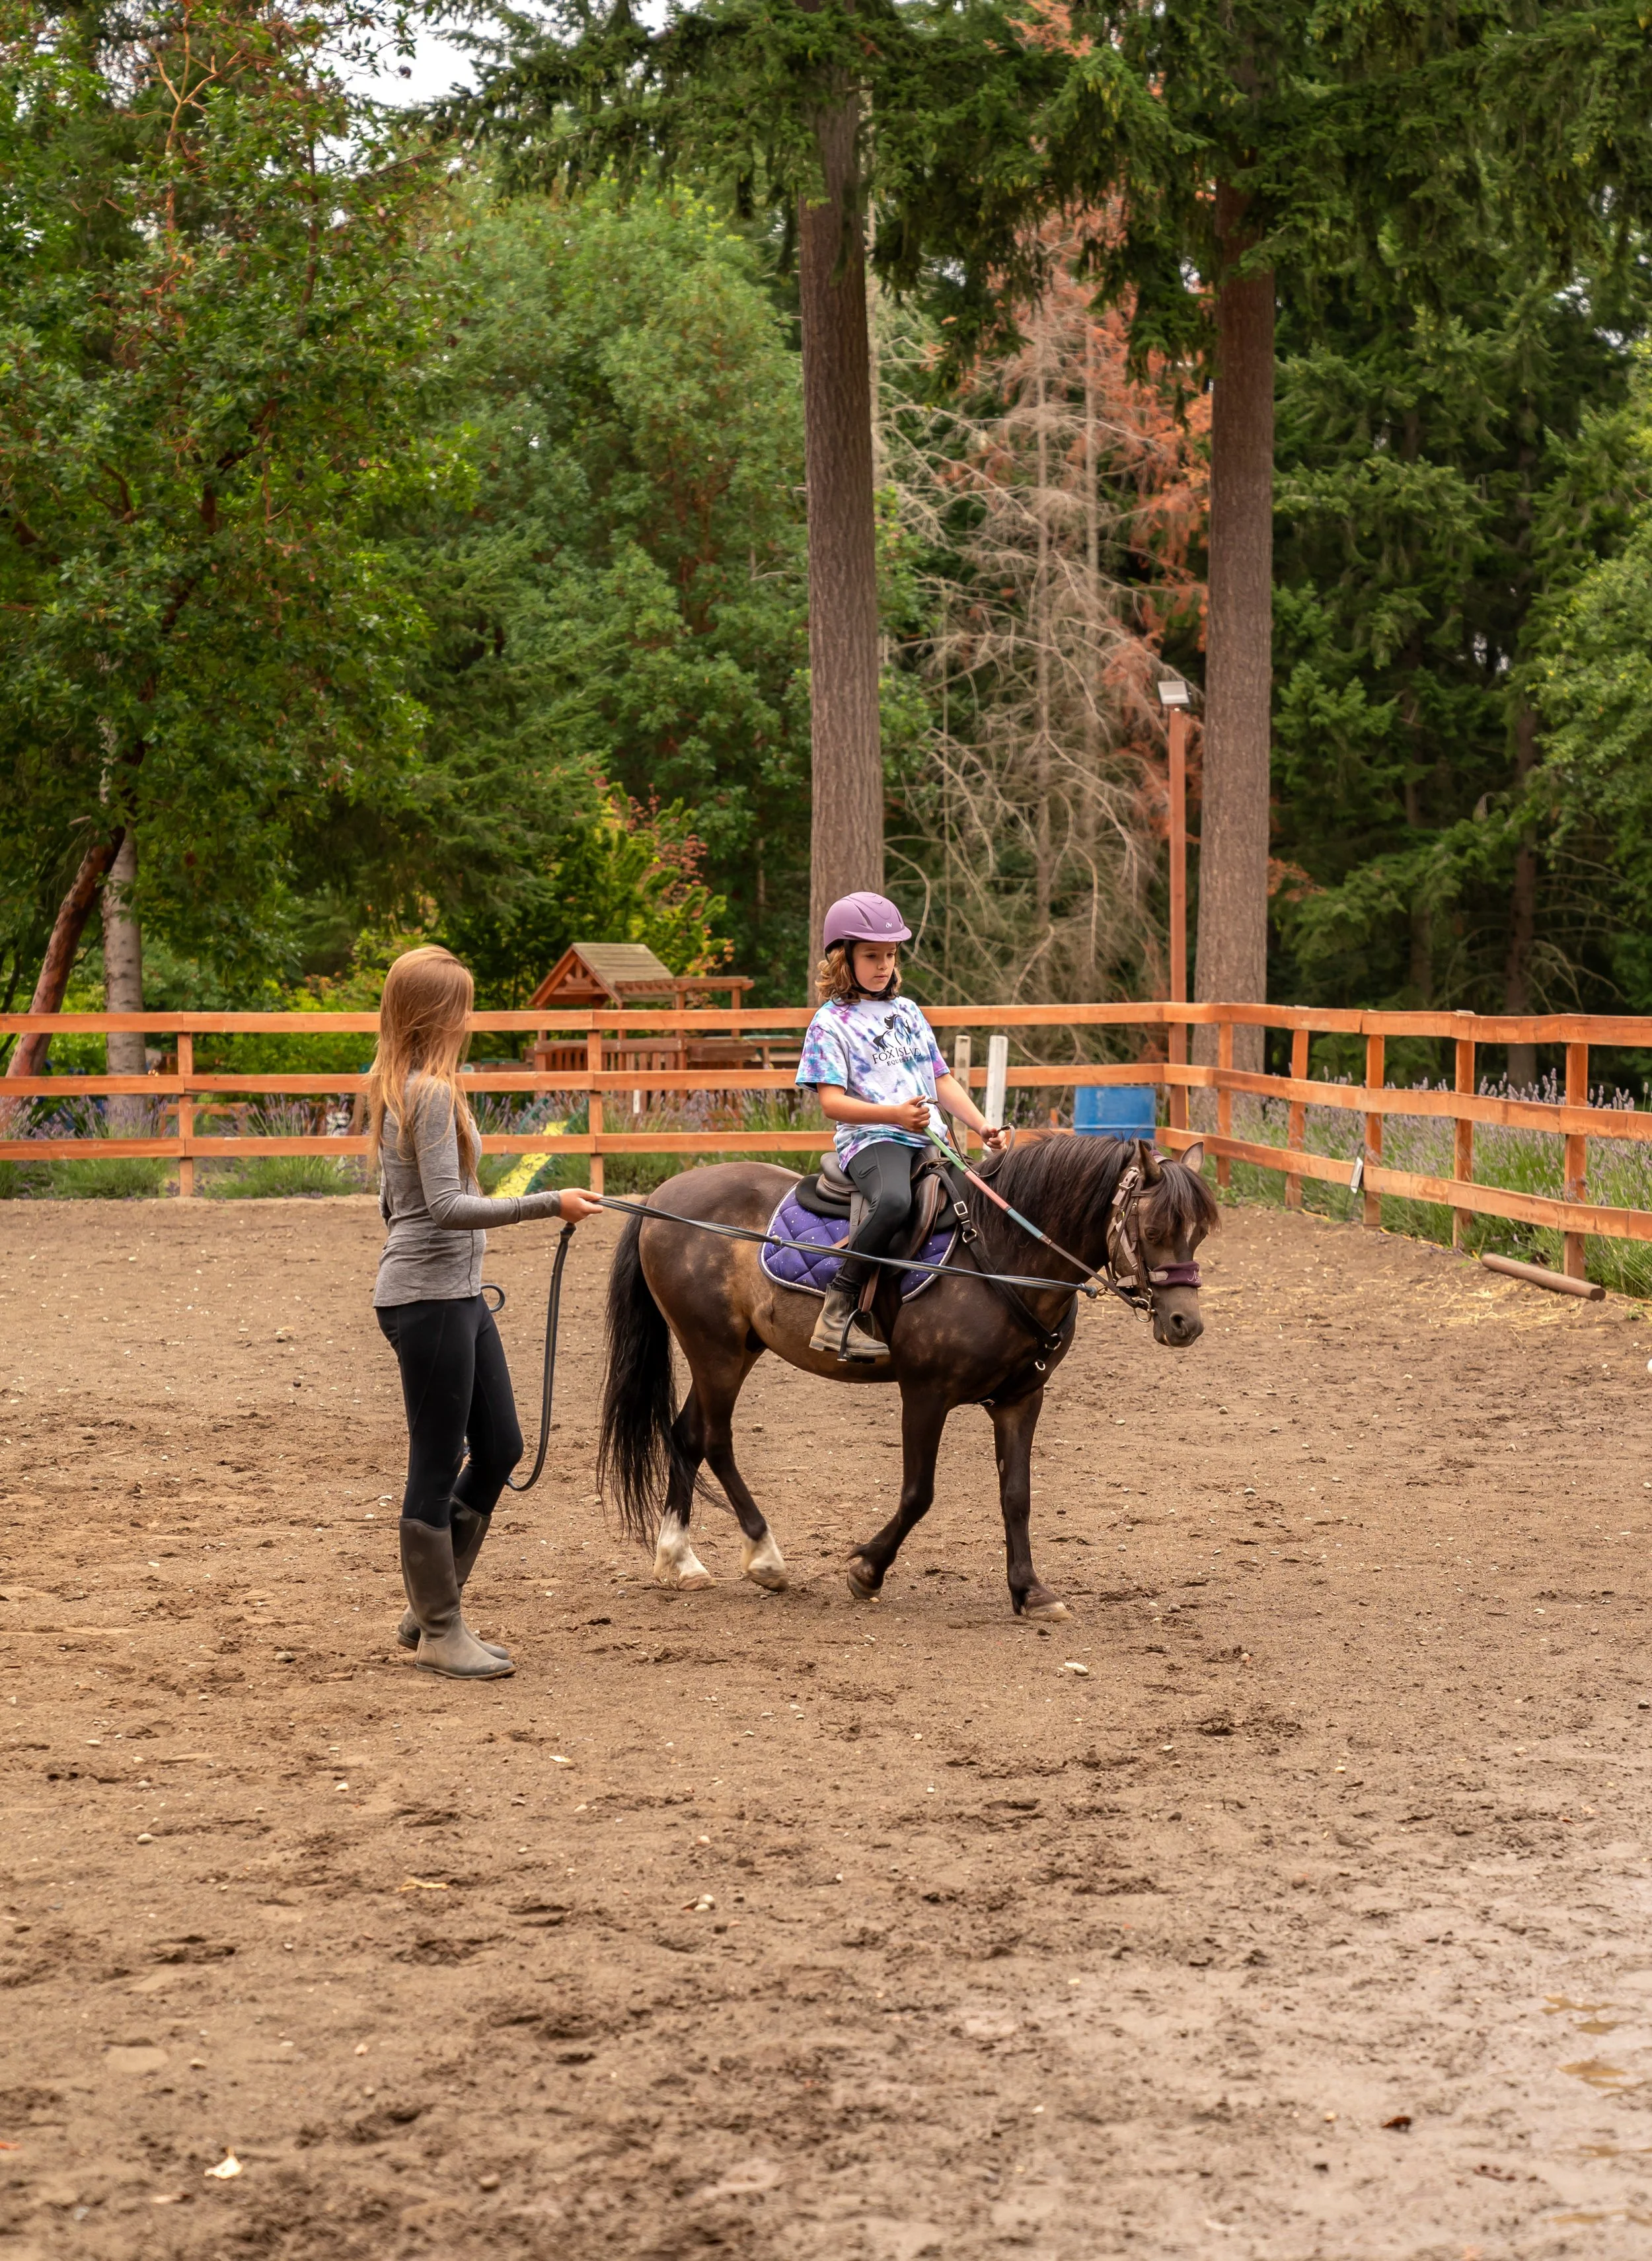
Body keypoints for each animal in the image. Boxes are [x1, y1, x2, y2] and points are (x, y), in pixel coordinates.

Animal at [596, 1133, 1217, 1621]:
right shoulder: (925, 1394)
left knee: (685, 1435)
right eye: (1154, 1227)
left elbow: (1016, 1495)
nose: (1185, 1324)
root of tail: (664, 1199)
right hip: (715, 1349)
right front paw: (868, 1570)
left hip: (738, 1349)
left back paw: (680, 1560)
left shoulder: (1022, 1398)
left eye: (1199, 1233)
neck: (1000, 1255)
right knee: (714, 1438)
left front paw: (1031, 1591)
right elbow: (919, 1493)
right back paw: (764, 1556)